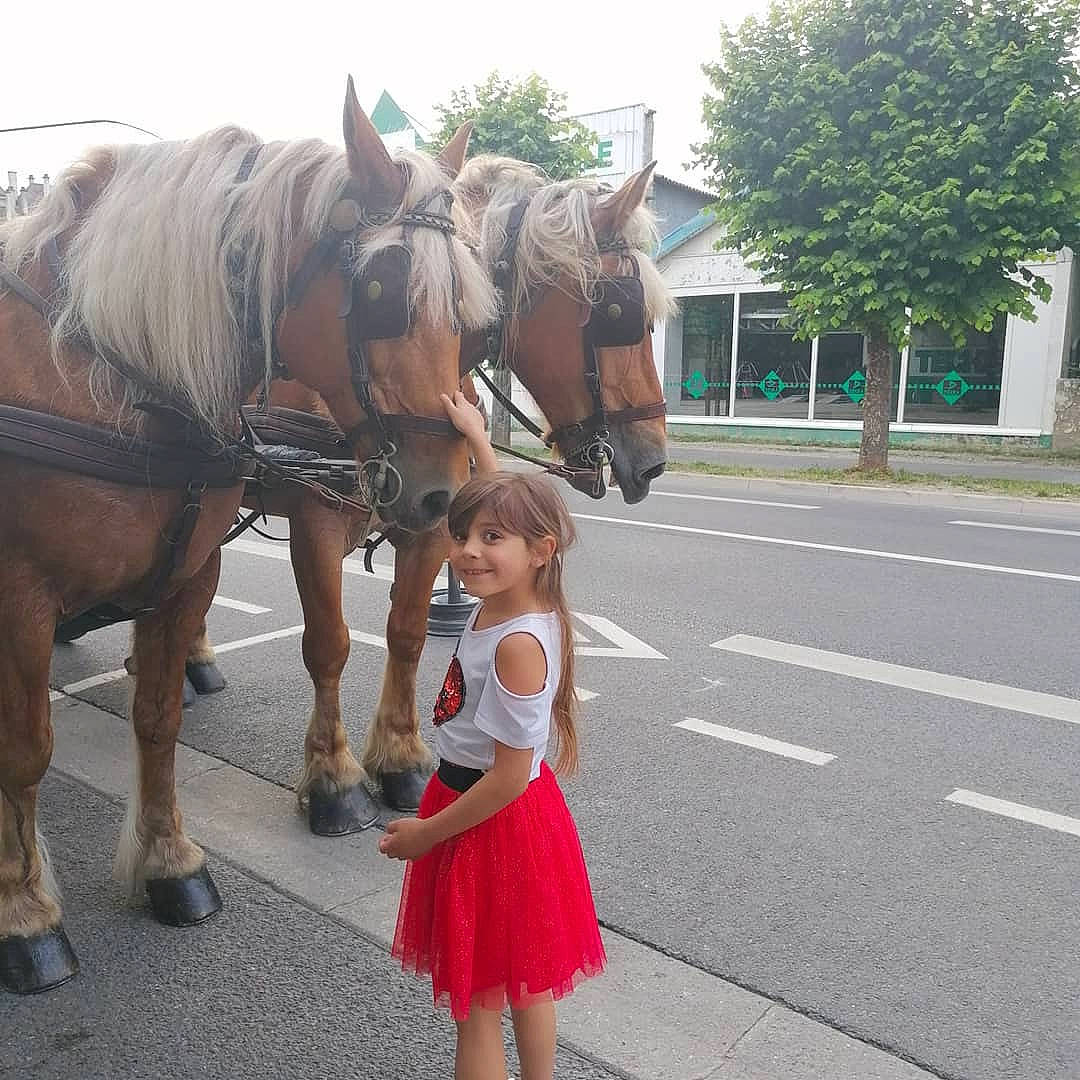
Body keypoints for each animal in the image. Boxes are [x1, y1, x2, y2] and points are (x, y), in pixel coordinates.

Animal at [0, 80, 496, 994]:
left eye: (477, 315)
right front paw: (24, 913)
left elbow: (158, 719)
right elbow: (23, 751)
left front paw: (168, 863)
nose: (443, 489)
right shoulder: (21, 595)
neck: (101, 373)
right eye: (382, 288)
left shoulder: (186, 575)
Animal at [177, 152, 676, 822]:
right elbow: (329, 644)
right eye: (618, 313)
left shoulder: (435, 520)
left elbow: (409, 634)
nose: (653, 462)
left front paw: (401, 760)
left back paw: (196, 661)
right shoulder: (316, 520)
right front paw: (334, 778)